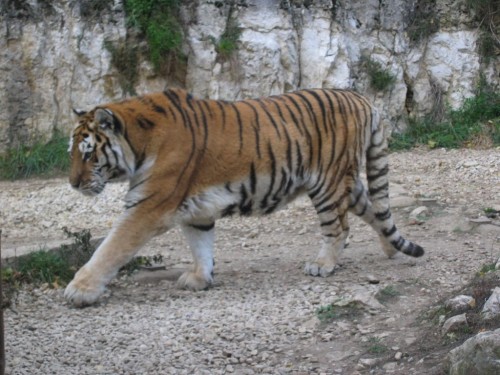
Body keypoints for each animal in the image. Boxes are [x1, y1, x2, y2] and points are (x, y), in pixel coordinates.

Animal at [64, 89, 424, 308]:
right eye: (72, 153)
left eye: (88, 154)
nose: (73, 183)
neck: (138, 143)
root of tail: (361, 97)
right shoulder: (196, 209)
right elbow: (201, 245)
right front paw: (200, 278)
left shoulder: (148, 206)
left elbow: (111, 248)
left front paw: (80, 290)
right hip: (346, 181)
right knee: (376, 211)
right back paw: (390, 249)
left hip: (328, 182)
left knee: (339, 227)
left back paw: (323, 265)